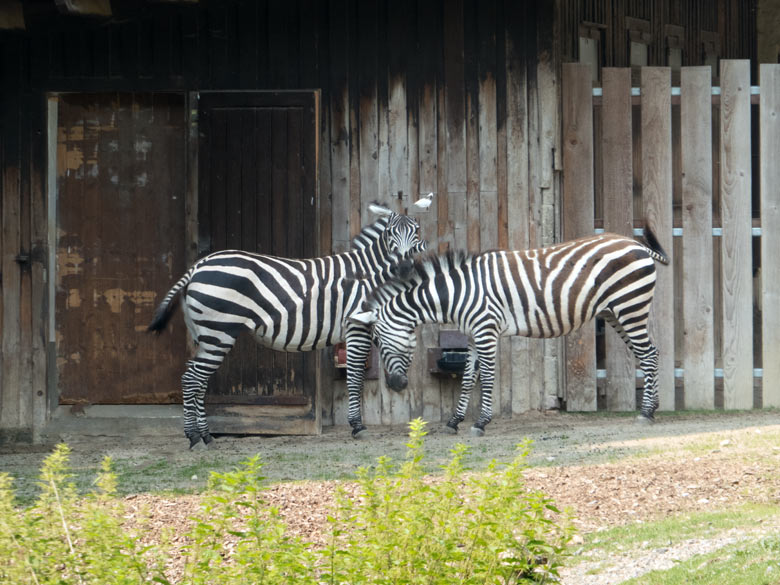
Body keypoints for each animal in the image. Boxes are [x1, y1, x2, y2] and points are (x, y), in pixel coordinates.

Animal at [149, 197, 430, 448]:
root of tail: (198, 266)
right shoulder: (356, 325)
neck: (368, 273)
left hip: (204, 334)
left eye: (416, 233)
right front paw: (358, 426)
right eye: (390, 234)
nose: (405, 268)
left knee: (198, 379)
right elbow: (356, 374)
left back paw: (206, 436)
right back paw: (194, 437)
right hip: (219, 333)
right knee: (192, 378)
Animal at [350, 230, 668, 436]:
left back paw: (646, 413)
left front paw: (480, 423)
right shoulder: (473, 335)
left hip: (630, 307)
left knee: (649, 355)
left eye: (378, 340)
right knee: (650, 353)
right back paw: (653, 409)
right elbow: (468, 378)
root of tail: (637, 244)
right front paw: (454, 421)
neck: (457, 294)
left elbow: (488, 377)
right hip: (616, 313)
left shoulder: (486, 330)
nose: (396, 385)